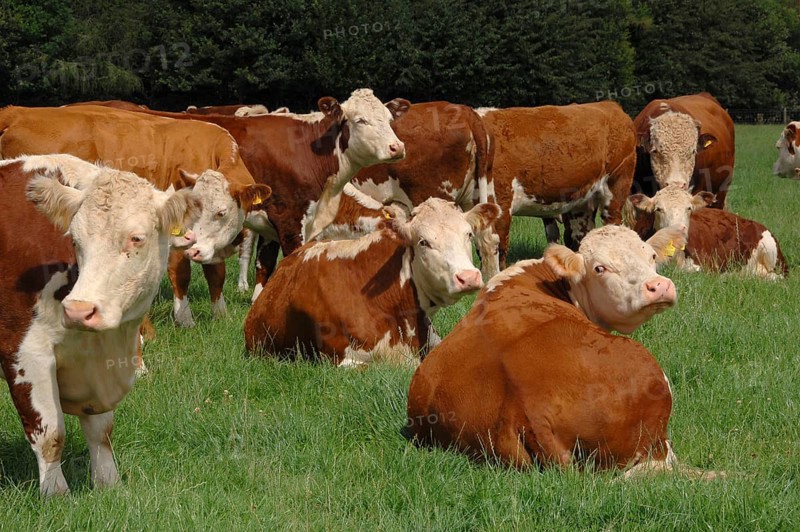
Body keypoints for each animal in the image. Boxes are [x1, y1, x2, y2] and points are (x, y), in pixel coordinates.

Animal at [0, 104, 270, 327]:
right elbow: (182, 272)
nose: (195, 250)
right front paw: (185, 319)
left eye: (221, 213)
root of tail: (16, 111)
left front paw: (220, 314)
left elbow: (216, 272)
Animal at [0, 154, 200, 496]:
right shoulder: (26, 353)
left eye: (136, 238)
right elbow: (50, 434)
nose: (79, 311)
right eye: (75, 240)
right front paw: (56, 495)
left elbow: (101, 431)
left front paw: (109, 484)